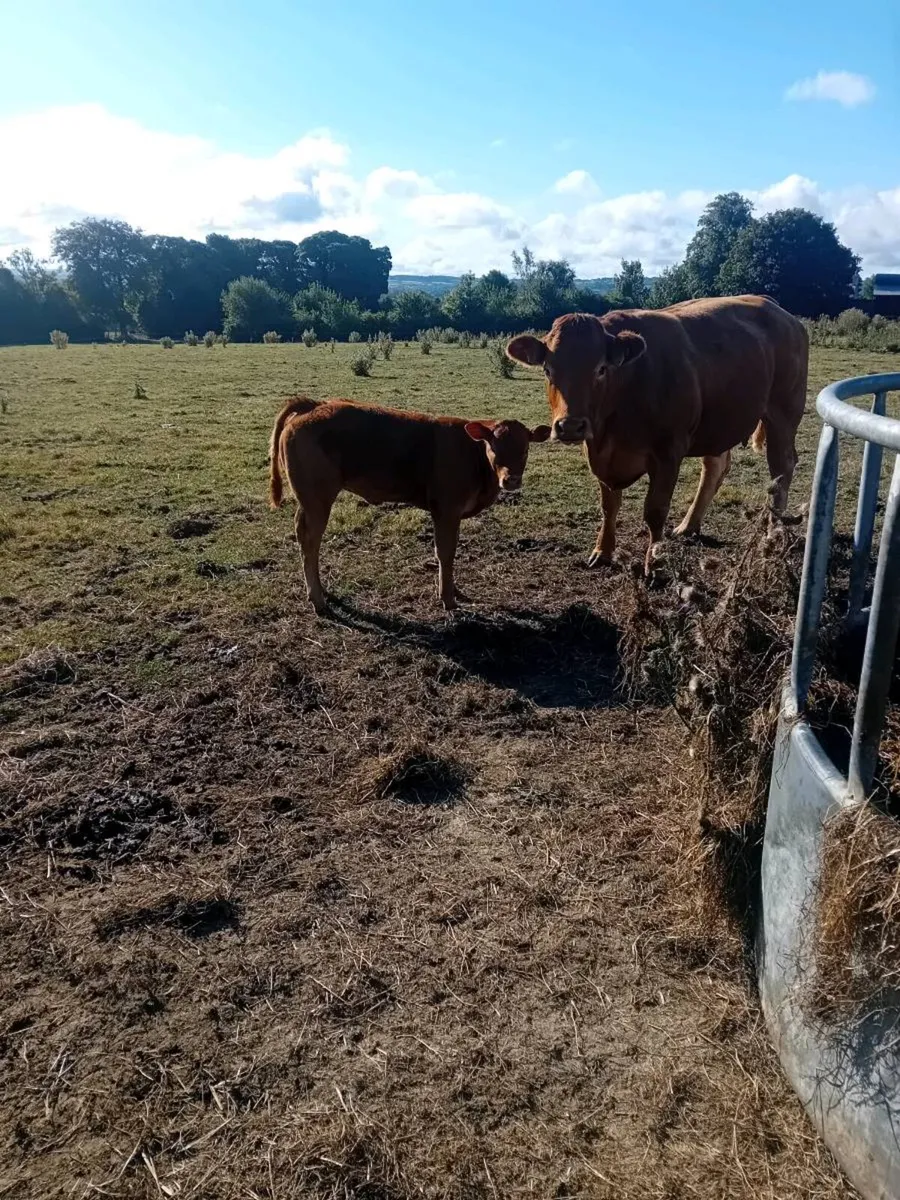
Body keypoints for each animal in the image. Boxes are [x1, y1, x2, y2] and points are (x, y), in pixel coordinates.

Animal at [269, 396, 550, 613]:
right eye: (493, 447)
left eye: (525, 449)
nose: (511, 479)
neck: (473, 456)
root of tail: (314, 405)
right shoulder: (446, 509)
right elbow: (445, 552)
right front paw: (448, 598)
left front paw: (455, 590)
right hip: (317, 499)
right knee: (310, 542)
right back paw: (317, 598)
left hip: (309, 501)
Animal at [506, 295, 808, 574]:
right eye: (548, 370)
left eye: (601, 369)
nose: (569, 426)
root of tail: (780, 311)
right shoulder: (600, 455)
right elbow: (609, 507)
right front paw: (602, 552)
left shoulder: (668, 454)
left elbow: (655, 511)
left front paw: (655, 562)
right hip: (720, 421)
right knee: (715, 467)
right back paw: (688, 526)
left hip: (784, 413)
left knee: (781, 468)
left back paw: (773, 531)